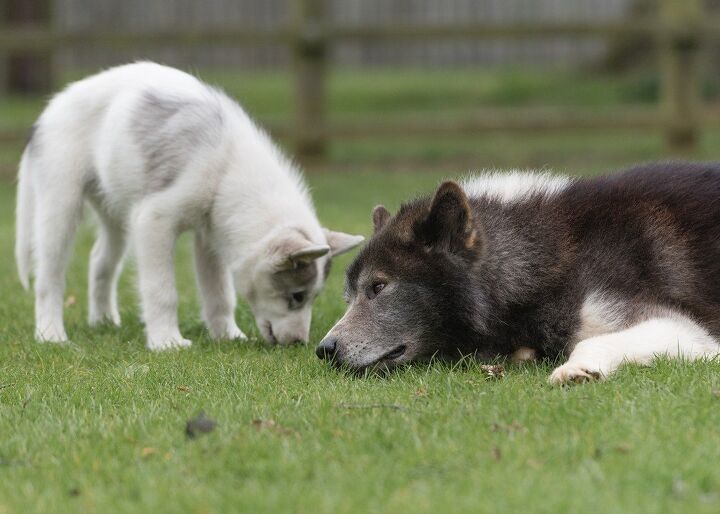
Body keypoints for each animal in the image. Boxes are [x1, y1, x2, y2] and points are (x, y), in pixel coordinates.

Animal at [15, 60, 366, 348]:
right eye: (297, 296)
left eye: (311, 298)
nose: (298, 343)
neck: (226, 168)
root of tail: (53, 106)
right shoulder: (154, 221)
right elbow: (162, 290)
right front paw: (166, 341)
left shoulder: (208, 235)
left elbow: (219, 294)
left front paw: (228, 335)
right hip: (60, 205)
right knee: (49, 276)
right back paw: (51, 334)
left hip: (115, 214)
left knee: (100, 261)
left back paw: (102, 321)